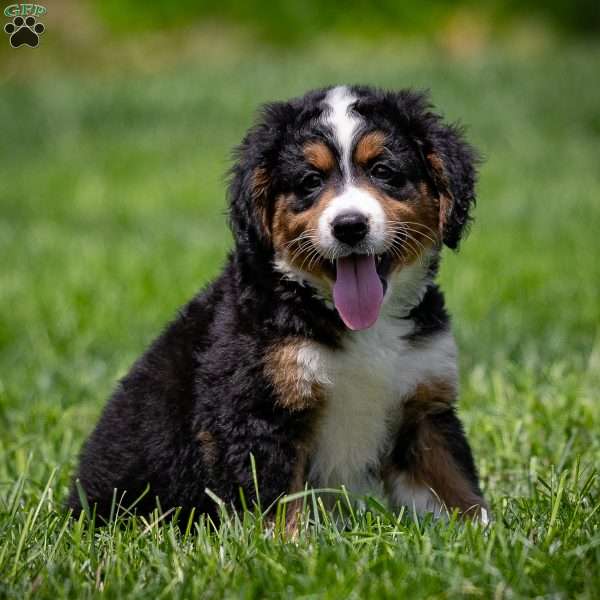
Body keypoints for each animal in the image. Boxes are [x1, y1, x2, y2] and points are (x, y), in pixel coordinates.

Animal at [69, 83, 488, 524]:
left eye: (383, 171)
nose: (349, 226)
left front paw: (486, 532)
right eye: (310, 181)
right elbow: (277, 508)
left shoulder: (423, 408)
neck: (363, 327)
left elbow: (455, 486)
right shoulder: (258, 413)